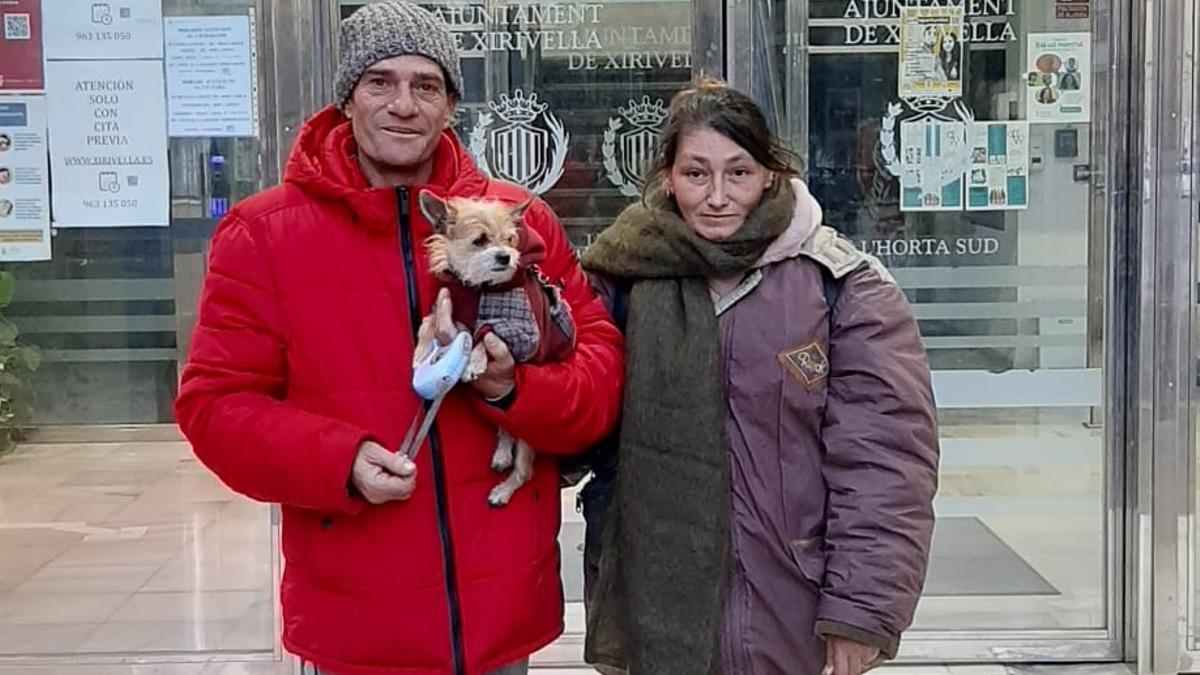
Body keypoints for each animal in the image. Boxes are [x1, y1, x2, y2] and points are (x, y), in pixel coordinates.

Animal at [417, 192, 576, 502]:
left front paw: (475, 361)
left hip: (528, 433)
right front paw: (419, 355)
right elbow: (428, 324)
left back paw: (503, 489)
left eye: (510, 239)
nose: (505, 256)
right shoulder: (445, 305)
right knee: (504, 424)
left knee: (523, 469)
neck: (479, 288)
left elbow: (485, 333)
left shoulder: (523, 334)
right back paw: (502, 453)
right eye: (480, 240)